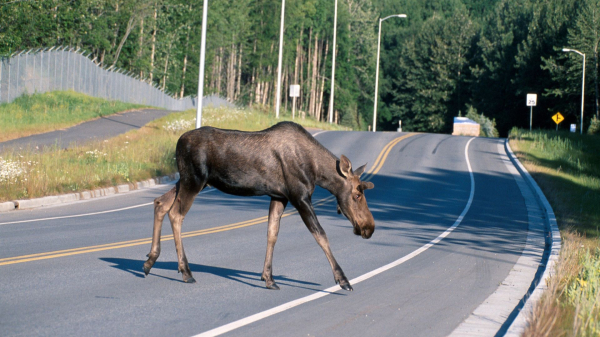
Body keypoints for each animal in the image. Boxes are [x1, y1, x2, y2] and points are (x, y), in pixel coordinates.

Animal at [142, 122, 372, 290]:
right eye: (357, 194)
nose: (369, 228)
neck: (317, 172)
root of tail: (178, 142)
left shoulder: (279, 196)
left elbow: (272, 234)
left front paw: (268, 278)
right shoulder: (300, 197)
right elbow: (321, 235)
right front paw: (343, 280)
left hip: (188, 180)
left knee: (160, 203)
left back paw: (150, 260)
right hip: (194, 180)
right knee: (176, 214)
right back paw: (186, 272)